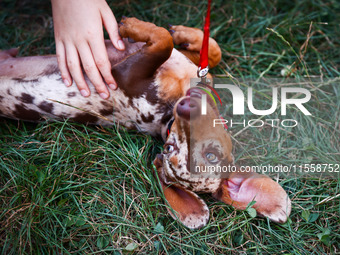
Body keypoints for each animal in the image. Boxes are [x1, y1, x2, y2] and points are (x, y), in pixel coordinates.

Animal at [0, 17, 290, 229]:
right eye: (170, 147)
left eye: (210, 155)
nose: (184, 108)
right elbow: (203, 48)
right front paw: (183, 33)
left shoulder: (125, 75)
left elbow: (163, 40)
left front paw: (132, 26)